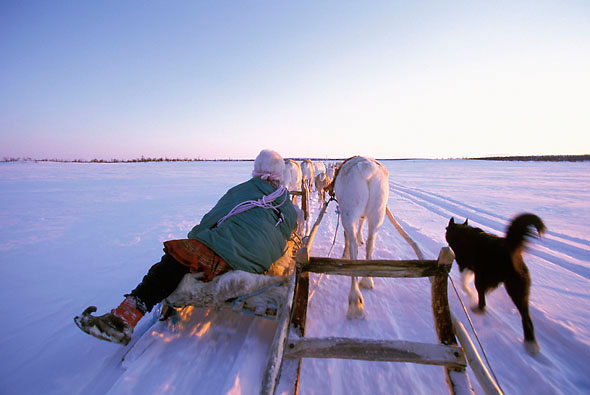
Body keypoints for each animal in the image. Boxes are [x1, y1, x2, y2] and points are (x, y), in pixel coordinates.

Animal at [446, 213, 548, 356]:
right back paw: (530, 344)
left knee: (483, 302)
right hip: (519, 289)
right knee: (526, 317)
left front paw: (467, 292)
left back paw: (477, 309)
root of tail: (510, 248)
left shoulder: (464, 263)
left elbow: (463, 281)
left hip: (485, 280)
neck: (462, 232)